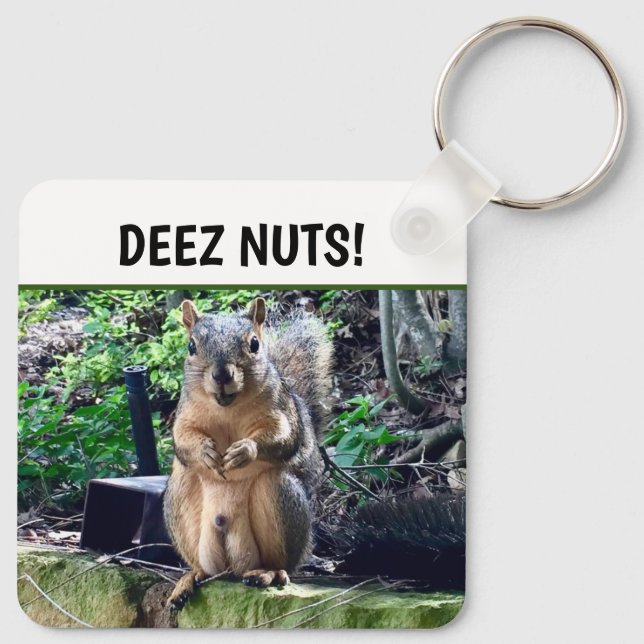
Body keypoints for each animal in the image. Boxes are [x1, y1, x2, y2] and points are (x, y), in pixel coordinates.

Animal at [163, 297, 333, 608]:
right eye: (191, 346)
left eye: (254, 344)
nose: (221, 374)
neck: (227, 407)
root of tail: (232, 567)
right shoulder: (185, 415)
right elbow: (183, 440)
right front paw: (205, 451)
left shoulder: (281, 411)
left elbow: (284, 438)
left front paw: (244, 451)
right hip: (180, 499)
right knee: (204, 569)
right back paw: (190, 578)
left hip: (279, 496)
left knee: (280, 563)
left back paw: (268, 573)